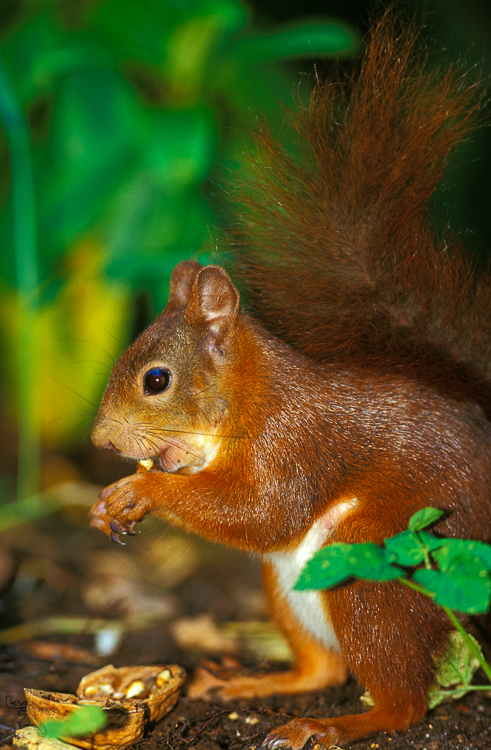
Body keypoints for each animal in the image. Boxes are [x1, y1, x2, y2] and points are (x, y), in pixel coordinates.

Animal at [90, 11, 491, 749]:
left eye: (156, 379)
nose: (103, 442)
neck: (252, 398)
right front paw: (108, 501)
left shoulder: (293, 443)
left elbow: (262, 511)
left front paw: (142, 490)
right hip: (287, 587)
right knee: (323, 669)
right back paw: (256, 684)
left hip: (367, 564)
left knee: (403, 703)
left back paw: (330, 726)